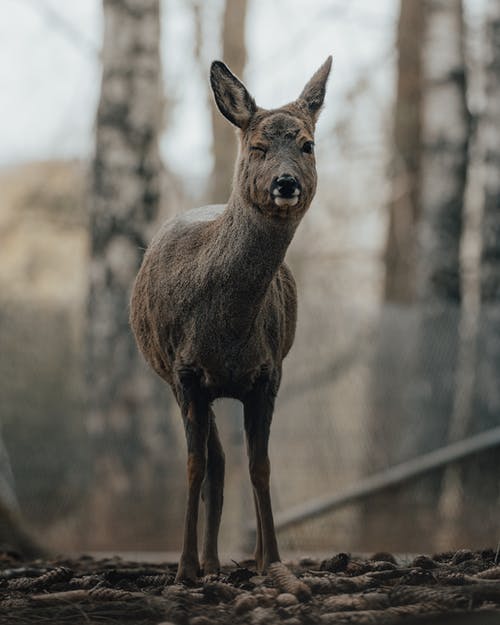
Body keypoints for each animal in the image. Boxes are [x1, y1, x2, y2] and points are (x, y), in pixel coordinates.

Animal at [130, 56, 332, 584]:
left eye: (307, 144)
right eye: (257, 145)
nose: (286, 183)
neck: (227, 329)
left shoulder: (268, 371)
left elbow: (260, 466)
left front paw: (273, 561)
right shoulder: (184, 373)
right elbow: (194, 466)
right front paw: (182, 568)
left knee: (228, 460)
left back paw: (227, 560)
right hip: (171, 375)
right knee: (215, 462)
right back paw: (206, 563)